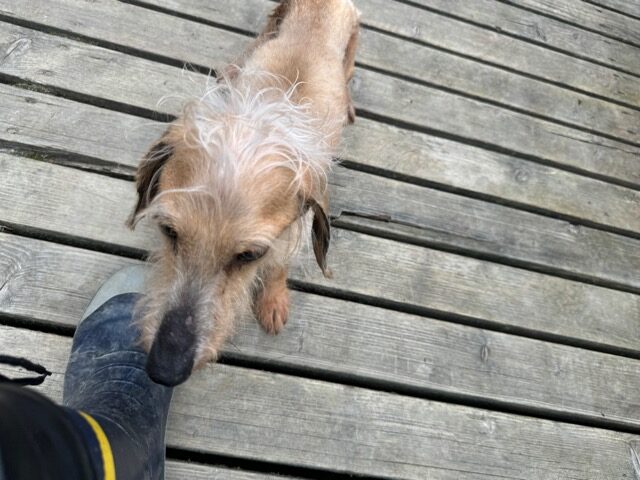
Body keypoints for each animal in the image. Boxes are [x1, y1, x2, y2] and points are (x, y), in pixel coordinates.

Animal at [127, 0, 360, 386]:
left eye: (250, 255)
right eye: (168, 231)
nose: (165, 368)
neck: (271, 111)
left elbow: (280, 265)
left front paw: (273, 299)